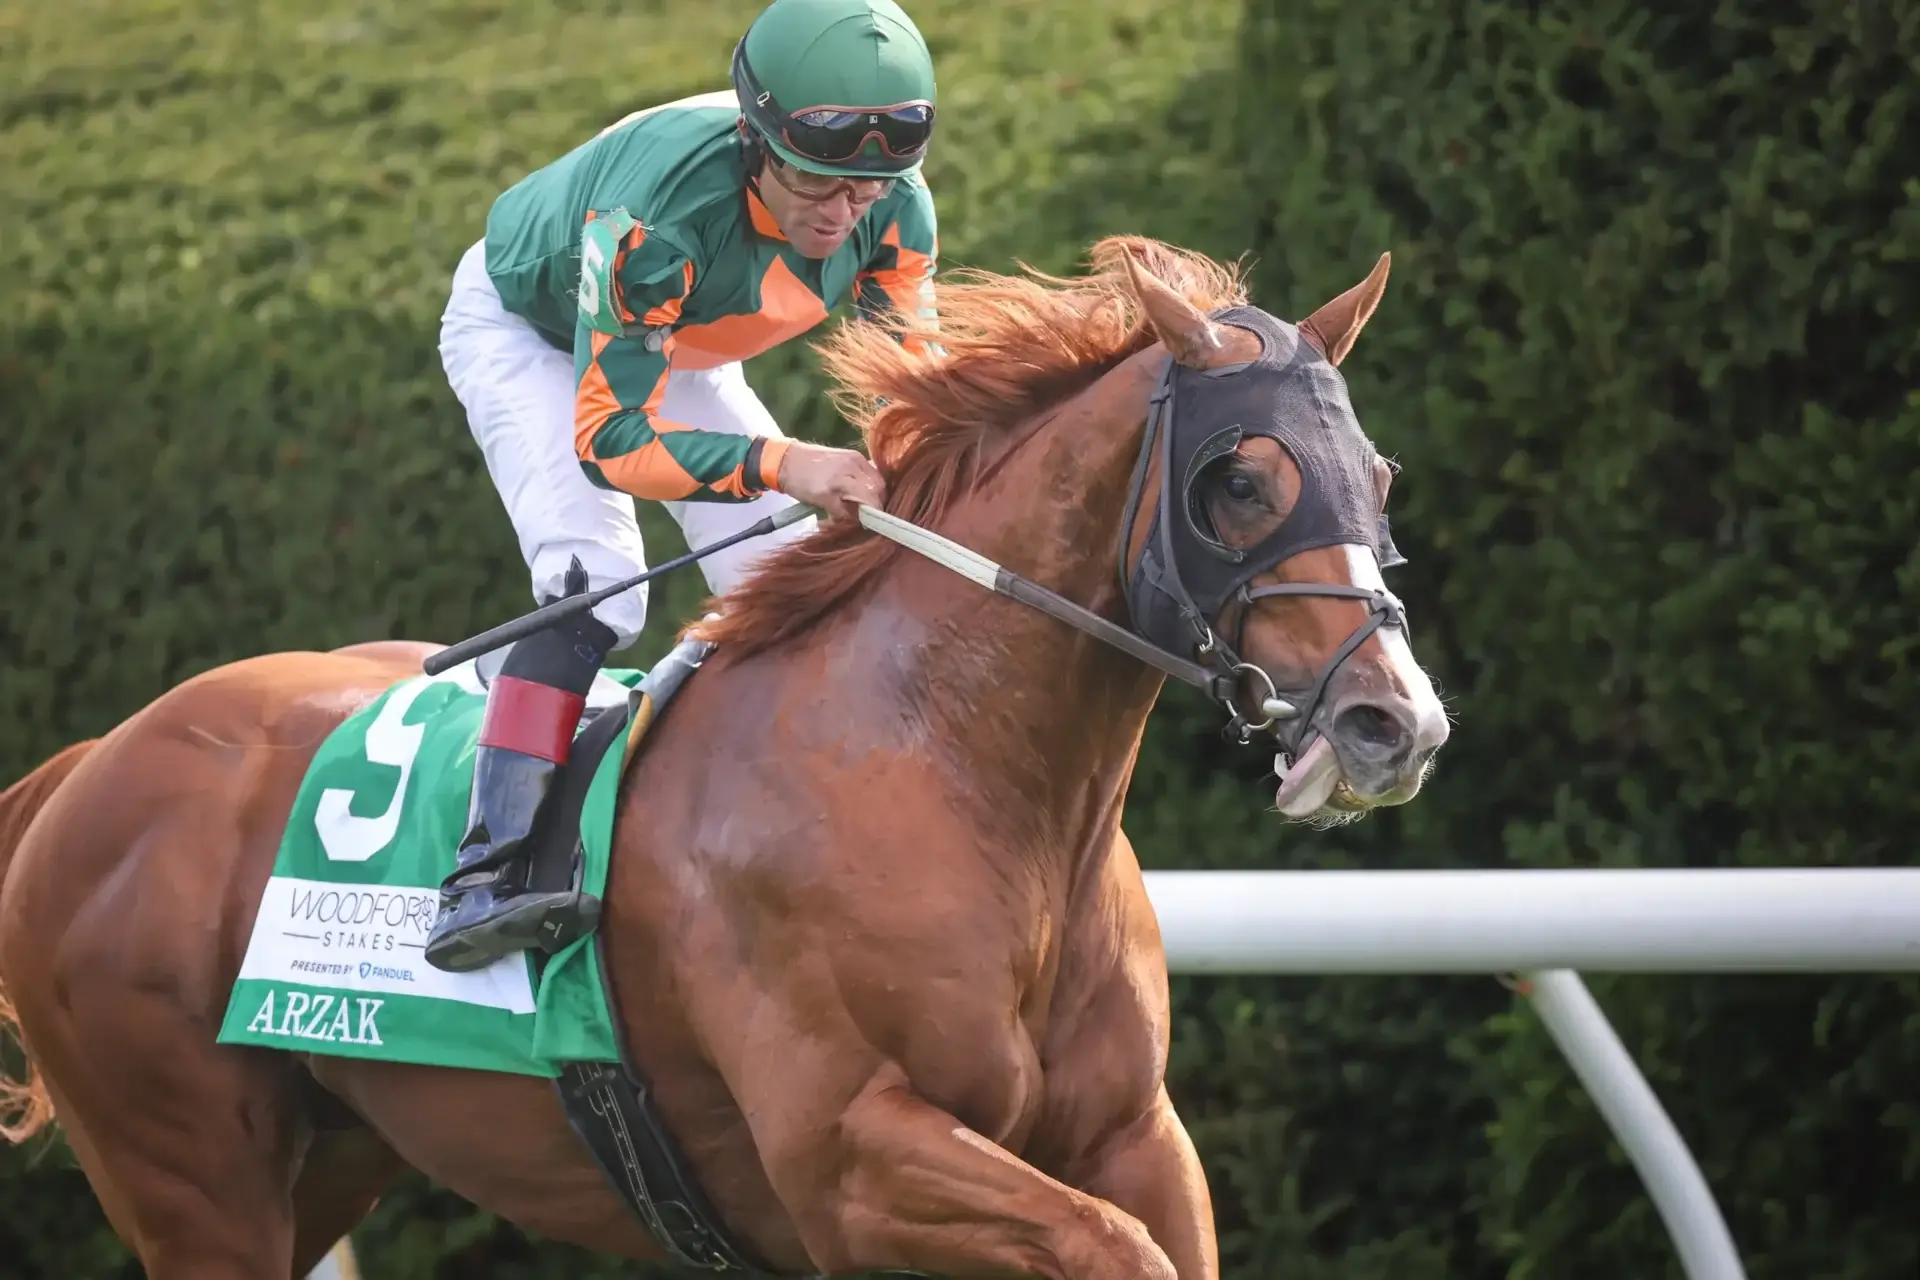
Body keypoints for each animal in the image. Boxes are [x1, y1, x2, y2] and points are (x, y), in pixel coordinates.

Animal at [0, 235, 1448, 1279]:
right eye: (1241, 480)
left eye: (1378, 476)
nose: (1396, 723)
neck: (951, 777)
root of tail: (89, 765)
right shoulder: (853, 1161)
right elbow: (1112, 1249)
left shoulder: (1132, 1134)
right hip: (192, 1174)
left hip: (332, 1153)